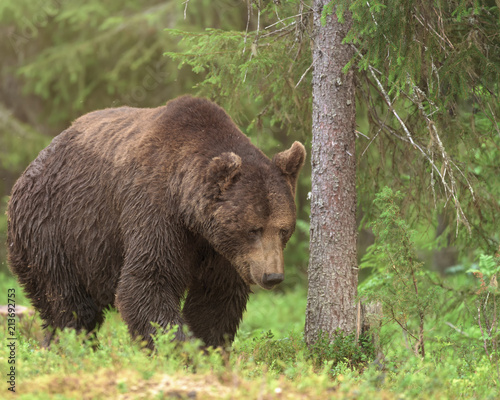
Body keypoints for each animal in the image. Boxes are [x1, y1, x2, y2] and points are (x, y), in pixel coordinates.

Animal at [6, 95, 304, 348]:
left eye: (283, 229)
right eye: (253, 229)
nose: (272, 275)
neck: (190, 214)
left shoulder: (221, 249)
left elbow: (216, 296)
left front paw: (207, 347)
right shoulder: (155, 211)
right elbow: (147, 281)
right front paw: (180, 347)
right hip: (54, 229)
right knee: (68, 305)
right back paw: (69, 347)